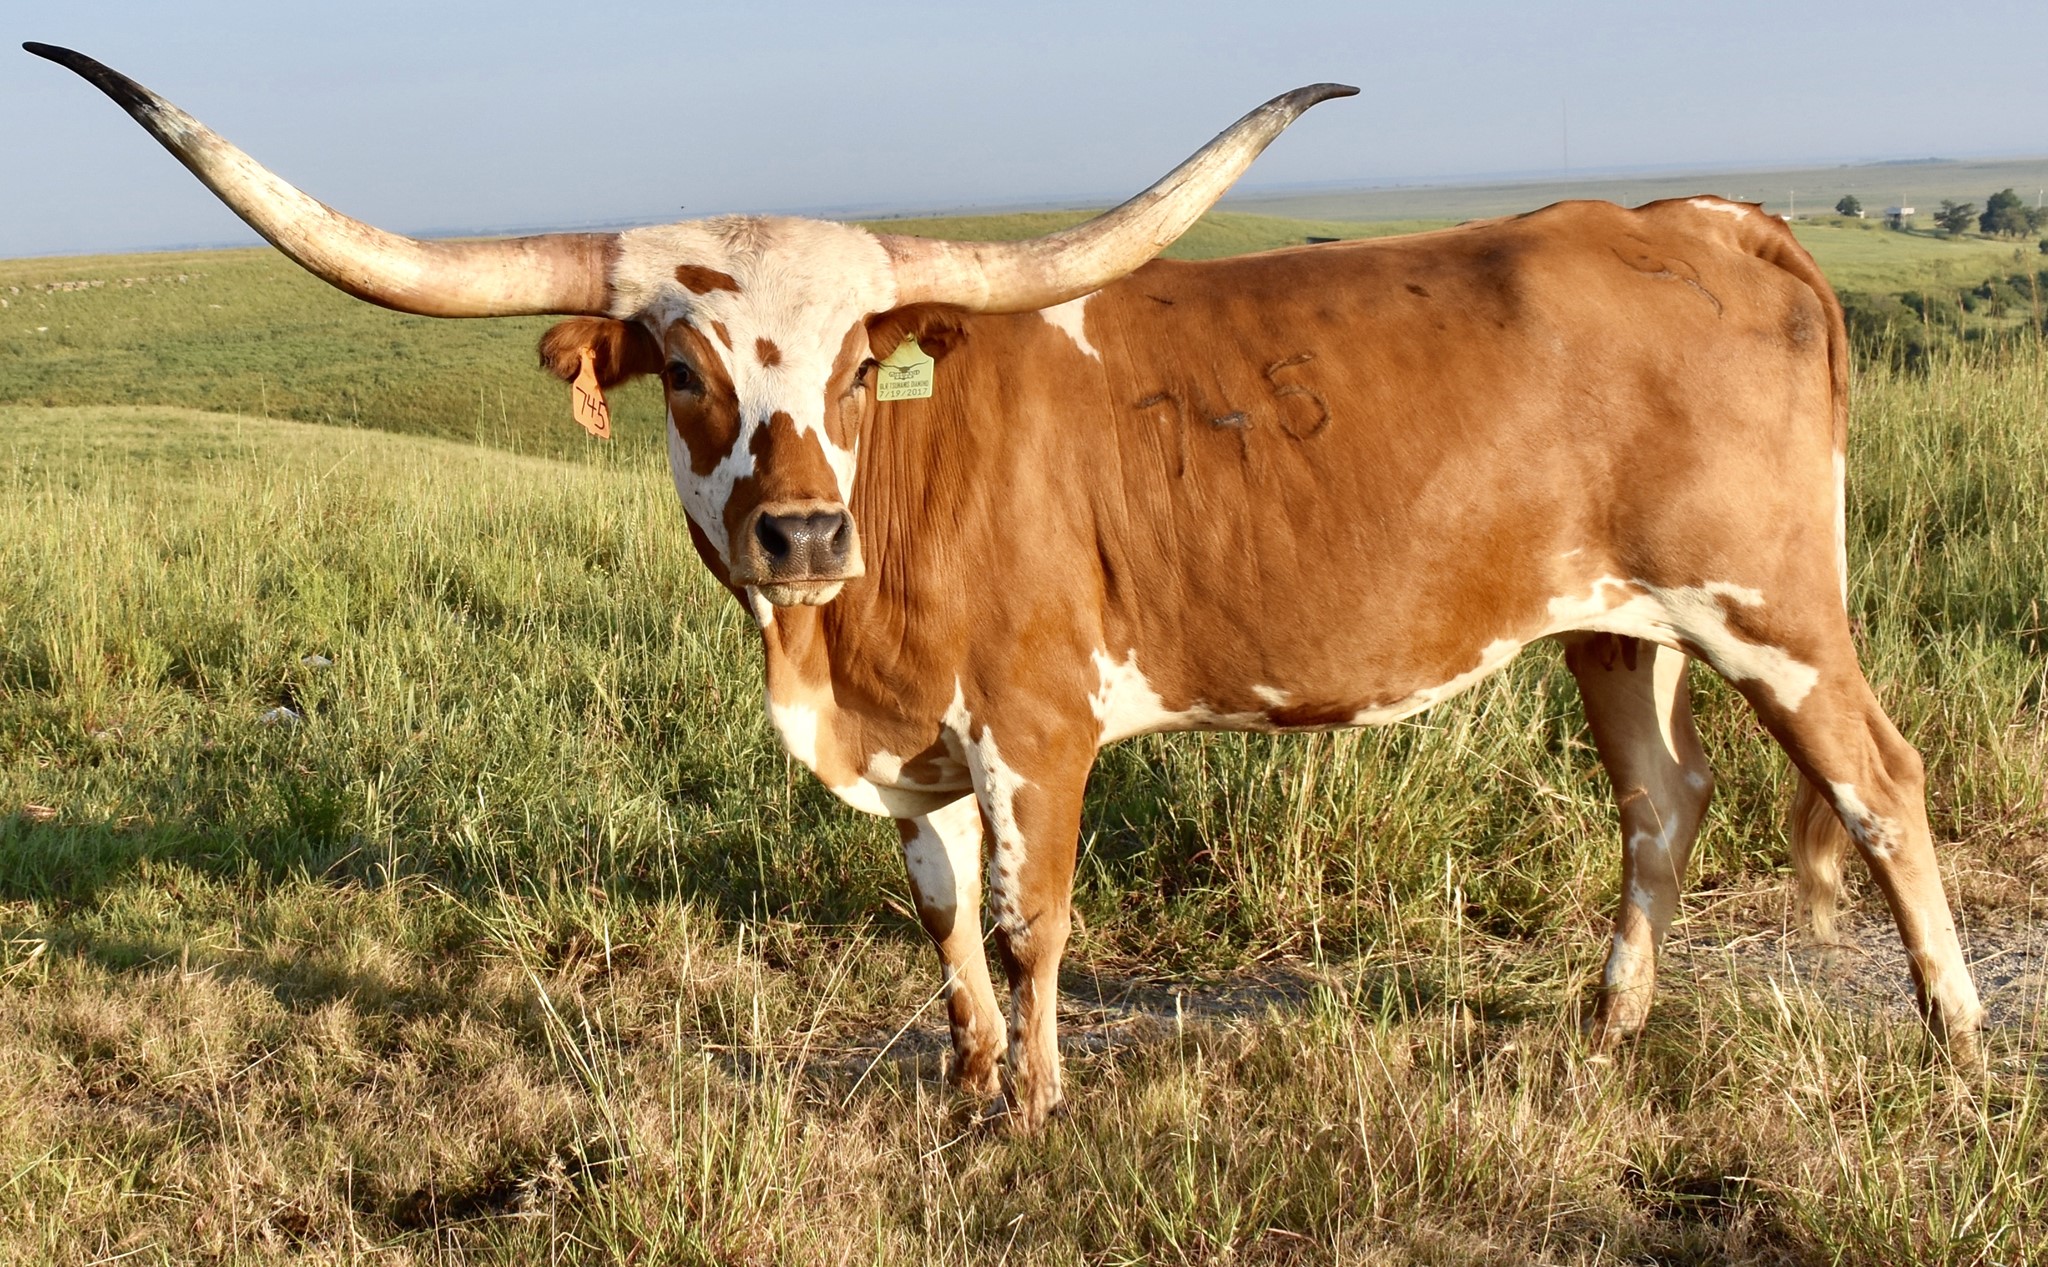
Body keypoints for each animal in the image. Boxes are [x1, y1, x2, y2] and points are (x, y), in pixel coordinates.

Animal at [30, 43, 1984, 1132]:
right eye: (684, 368)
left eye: (853, 362)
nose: (800, 533)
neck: (840, 640)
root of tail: (1711, 214)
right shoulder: (915, 744)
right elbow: (940, 909)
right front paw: (967, 1078)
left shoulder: (1037, 720)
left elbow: (1036, 916)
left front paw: (1038, 1102)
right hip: (1609, 624)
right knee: (1661, 800)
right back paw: (1609, 1021)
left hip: (1772, 605)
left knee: (1883, 790)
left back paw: (1958, 1043)